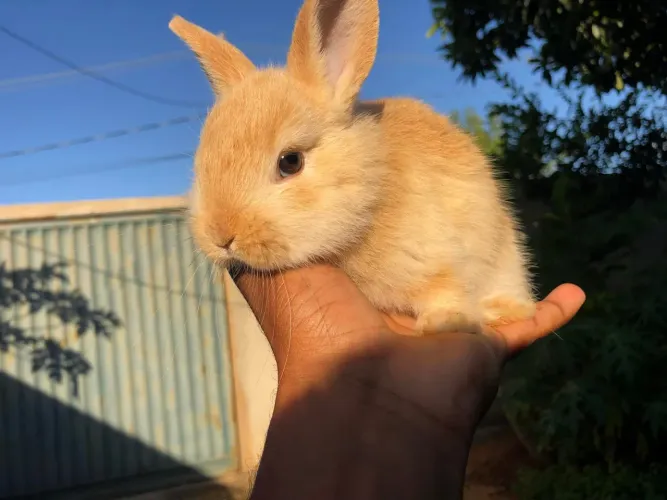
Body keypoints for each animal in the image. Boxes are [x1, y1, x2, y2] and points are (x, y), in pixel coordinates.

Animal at [168, 0, 537, 335]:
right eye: (201, 164)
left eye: (290, 162)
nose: (221, 236)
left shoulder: (440, 257)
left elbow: (446, 290)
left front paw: (445, 323)